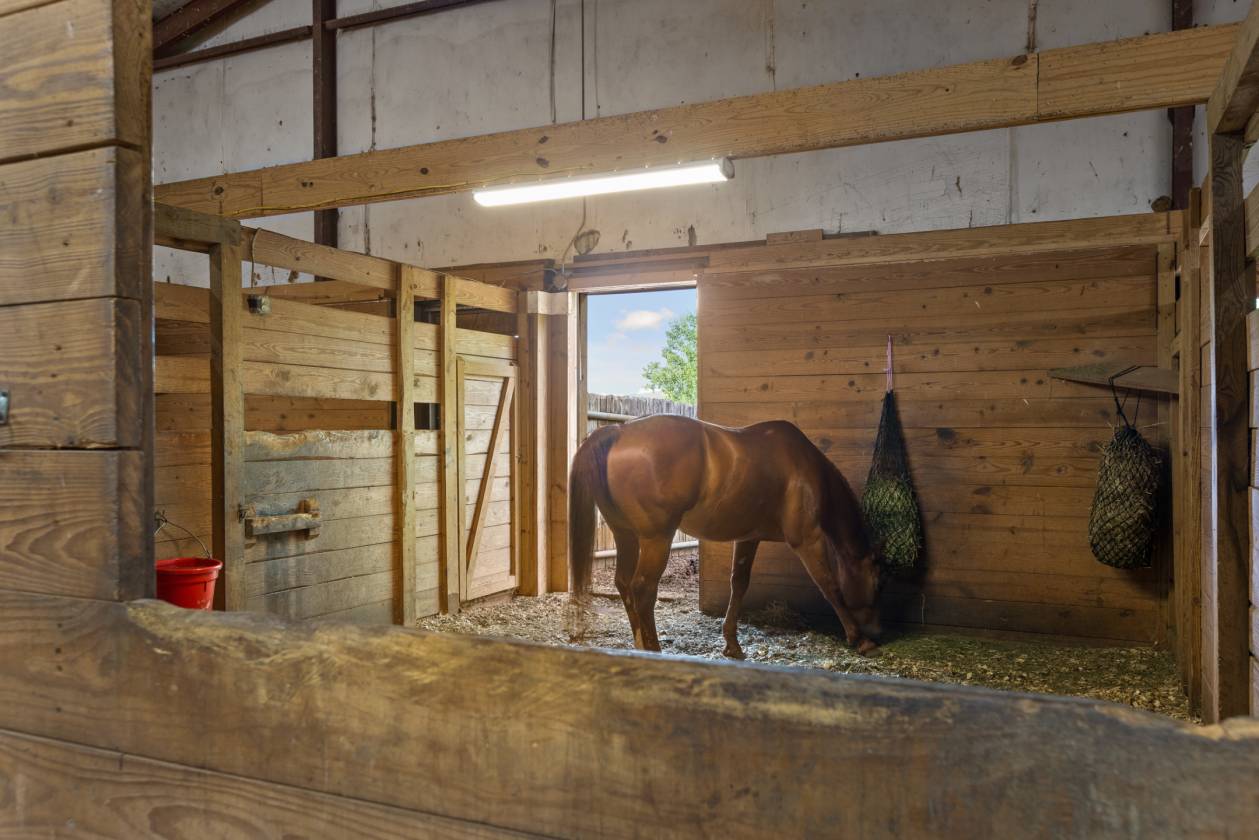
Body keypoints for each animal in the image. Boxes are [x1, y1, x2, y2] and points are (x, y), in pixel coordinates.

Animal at [574, 418, 886, 659]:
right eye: (877, 582)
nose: (879, 631)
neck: (802, 468)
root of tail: (619, 431)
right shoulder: (808, 539)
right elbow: (829, 585)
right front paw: (859, 639)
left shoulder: (748, 538)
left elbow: (739, 585)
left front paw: (732, 645)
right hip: (656, 539)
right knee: (642, 589)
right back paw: (653, 650)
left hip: (625, 536)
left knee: (624, 584)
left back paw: (640, 647)